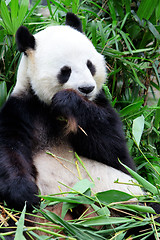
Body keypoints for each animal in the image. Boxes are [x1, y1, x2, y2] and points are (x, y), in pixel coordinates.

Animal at [0, 12, 144, 236]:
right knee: (12, 225)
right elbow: (9, 149)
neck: (49, 109)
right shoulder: (21, 109)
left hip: (123, 198)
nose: (86, 88)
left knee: (145, 210)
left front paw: (69, 101)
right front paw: (25, 194)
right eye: (65, 70)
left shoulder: (101, 105)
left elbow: (116, 152)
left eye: (90, 65)